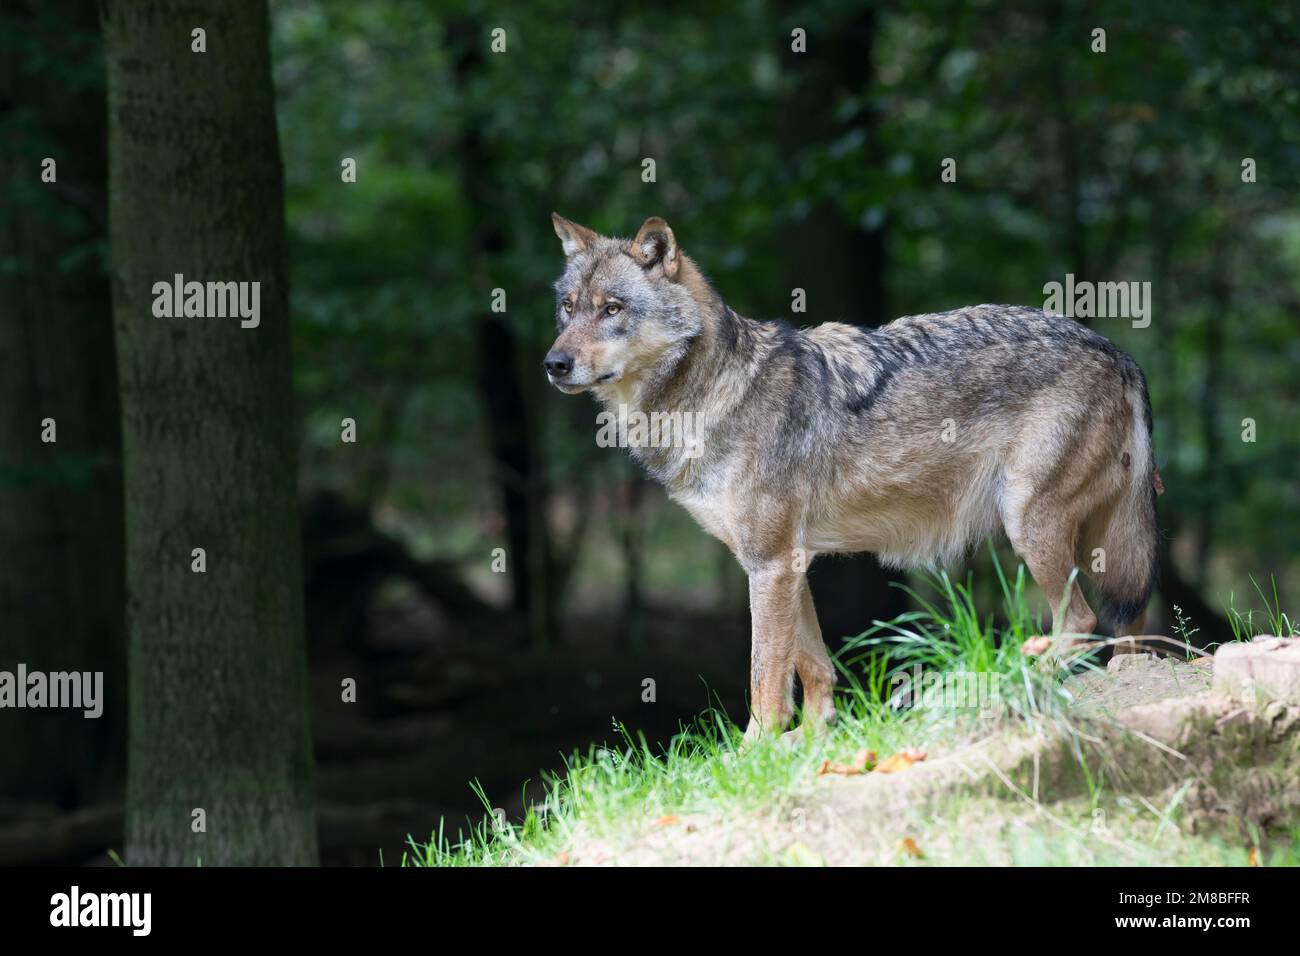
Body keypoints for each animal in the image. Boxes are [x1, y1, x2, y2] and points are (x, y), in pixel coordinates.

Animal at [544, 213, 1161, 742]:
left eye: (612, 309)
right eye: (569, 309)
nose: (553, 364)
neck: (713, 393)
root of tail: (1119, 352)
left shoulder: (769, 564)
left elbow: (765, 675)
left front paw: (755, 751)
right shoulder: (787, 562)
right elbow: (813, 665)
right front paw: (810, 739)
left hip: (1028, 522)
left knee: (1080, 620)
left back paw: (1016, 673)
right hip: (1097, 542)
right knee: (1127, 625)